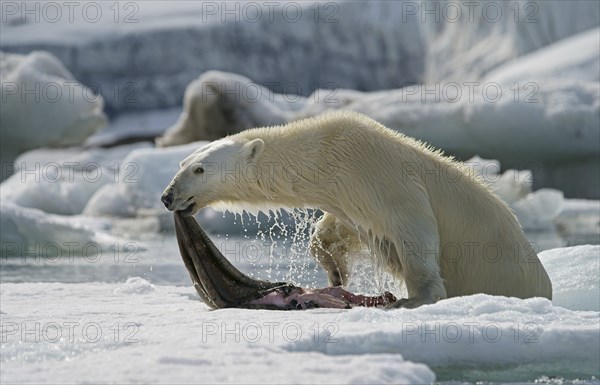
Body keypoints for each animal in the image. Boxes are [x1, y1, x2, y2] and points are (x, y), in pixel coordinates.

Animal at [161, 110, 552, 306]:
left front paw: (414, 298)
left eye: (199, 169)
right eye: (182, 162)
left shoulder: (385, 176)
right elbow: (340, 228)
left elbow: (415, 229)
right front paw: (335, 270)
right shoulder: (349, 191)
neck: (326, 149)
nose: (168, 196)